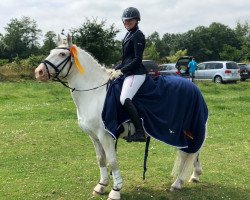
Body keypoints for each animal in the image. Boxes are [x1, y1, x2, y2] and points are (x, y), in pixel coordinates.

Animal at [35, 34, 207, 200]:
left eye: (62, 54)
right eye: (51, 52)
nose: (38, 72)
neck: (93, 93)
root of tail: (193, 87)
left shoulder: (105, 136)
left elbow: (112, 161)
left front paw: (115, 190)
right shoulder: (94, 137)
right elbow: (101, 159)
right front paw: (101, 185)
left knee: (192, 151)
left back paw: (178, 182)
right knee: (191, 152)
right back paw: (192, 177)